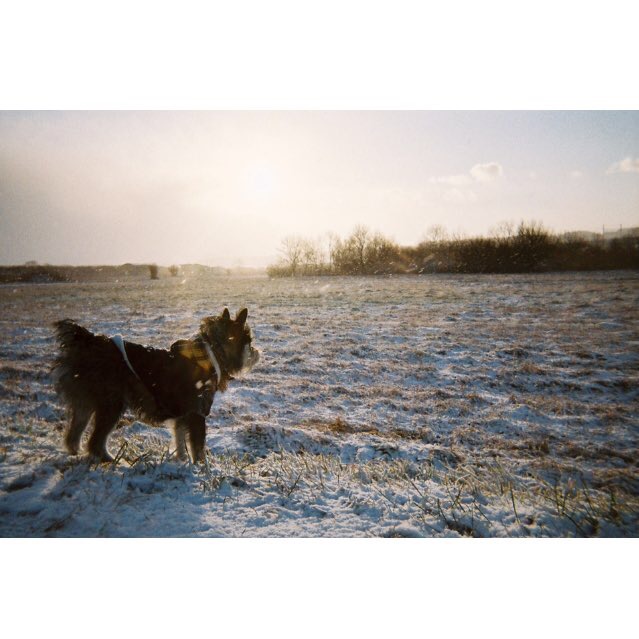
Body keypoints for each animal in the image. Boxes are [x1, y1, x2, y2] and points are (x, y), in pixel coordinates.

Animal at [51, 308, 258, 462]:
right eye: (248, 341)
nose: (257, 352)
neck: (211, 354)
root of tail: (89, 340)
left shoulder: (182, 415)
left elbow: (179, 438)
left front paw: (181, 461)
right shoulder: (197, 413)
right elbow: (198, 447)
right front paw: (202, 469)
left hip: (86, 401)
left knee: (74, 432)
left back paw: (75, 453)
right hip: (111, 404)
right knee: (95, 441)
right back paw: (112, 460)